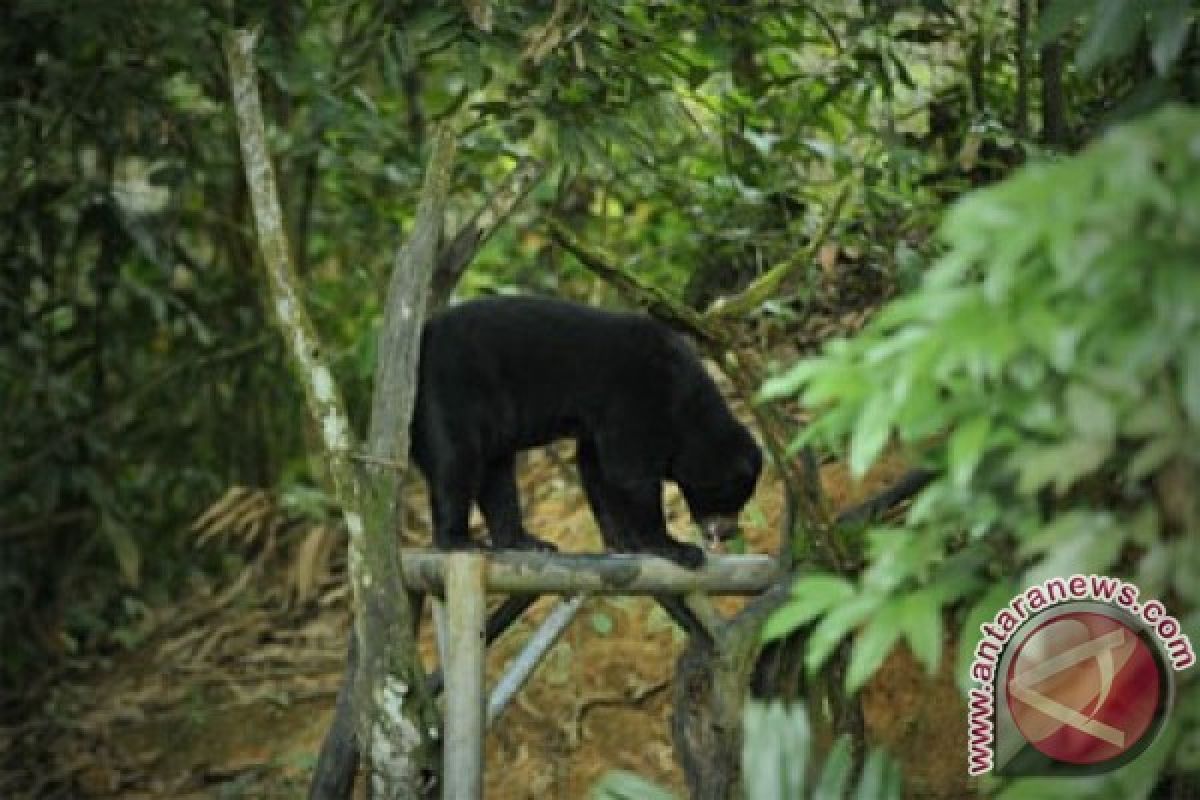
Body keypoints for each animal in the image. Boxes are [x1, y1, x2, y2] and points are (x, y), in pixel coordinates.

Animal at [412, 296, 758, 568]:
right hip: (453, 388)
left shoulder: (601, 422)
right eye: (733, 495)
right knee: (457, 460)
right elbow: (630, 472)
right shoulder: (637, 396)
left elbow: (597, 470)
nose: (729, 532)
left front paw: (623, 543)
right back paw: (459, 541)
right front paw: (677, 548)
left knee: (496, 472)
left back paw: (526, 541)